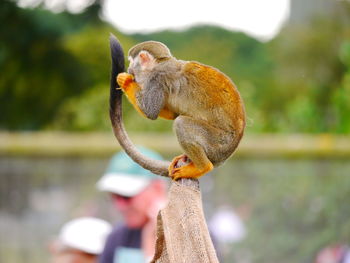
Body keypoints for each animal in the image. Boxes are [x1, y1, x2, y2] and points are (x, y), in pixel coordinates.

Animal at [110, 38, 245, 180]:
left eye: (131, 61)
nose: (129, 68)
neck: (159, 64)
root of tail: (225, 156)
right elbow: (172, 114)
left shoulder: (157, 79)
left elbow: (150, 112)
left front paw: (125, 81)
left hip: (219, 143)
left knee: (181, 123)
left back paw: (202, 167)